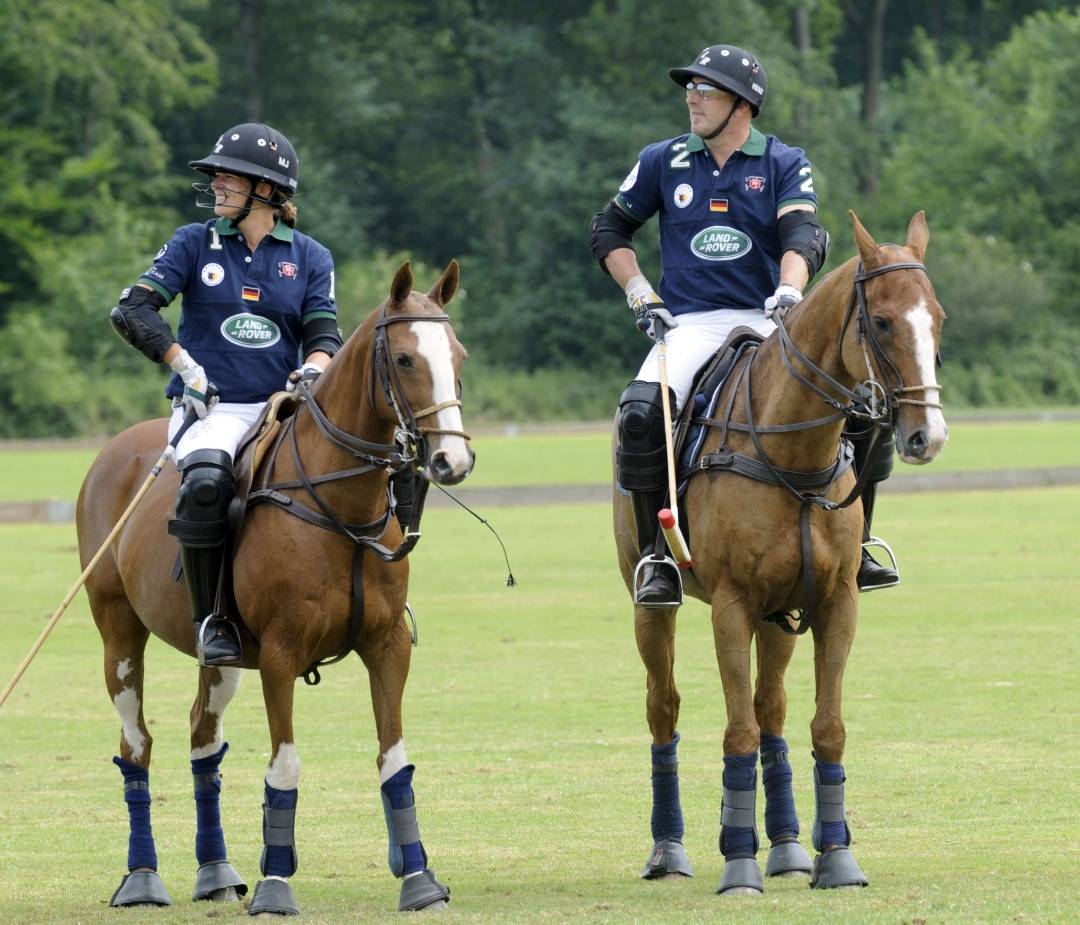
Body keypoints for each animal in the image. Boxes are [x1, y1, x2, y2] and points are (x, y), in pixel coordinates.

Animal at [76, 263, 473, 912]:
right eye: (406, 359)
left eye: (457, 354)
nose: (452, 461)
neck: (343, 505)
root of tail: (115, 447)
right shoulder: (283, 653)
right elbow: (284, 768)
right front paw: (277, 886)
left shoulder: (388, 645)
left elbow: (395, 762)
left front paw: (419, 880)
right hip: (118, 629)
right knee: (137, 744)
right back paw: (141, 879)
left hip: (222, 654)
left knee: (202, 737)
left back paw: (215, 873)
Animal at [613, 212, 950, 890]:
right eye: (881, 321)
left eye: (939, 317)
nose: (927, 436)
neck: (793, 453)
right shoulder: (731, 605)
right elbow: (736, 730)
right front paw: (739, 866)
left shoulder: (836, 601)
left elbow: (825, 726)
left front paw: (835, 858)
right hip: (652, 603)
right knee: (665, 705)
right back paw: (669, 850)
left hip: (783, 614)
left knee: (772, 707)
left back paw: (790, 846)